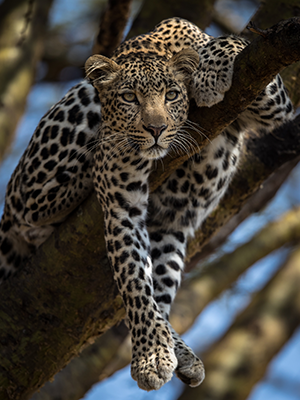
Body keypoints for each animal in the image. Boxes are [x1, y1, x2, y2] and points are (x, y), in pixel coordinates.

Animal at [0, 17, 292, 392]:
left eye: (171, 95)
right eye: (129, 98)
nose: (156, 129)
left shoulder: (274, 102)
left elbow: (233, 42)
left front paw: (210, 73)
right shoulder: (123, 206)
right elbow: (135, 282)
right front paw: (150, 357)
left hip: (169, 232)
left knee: (163, 295)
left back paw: (180, 352)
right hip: (62, 130)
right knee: (31, 204)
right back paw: (84, 174)